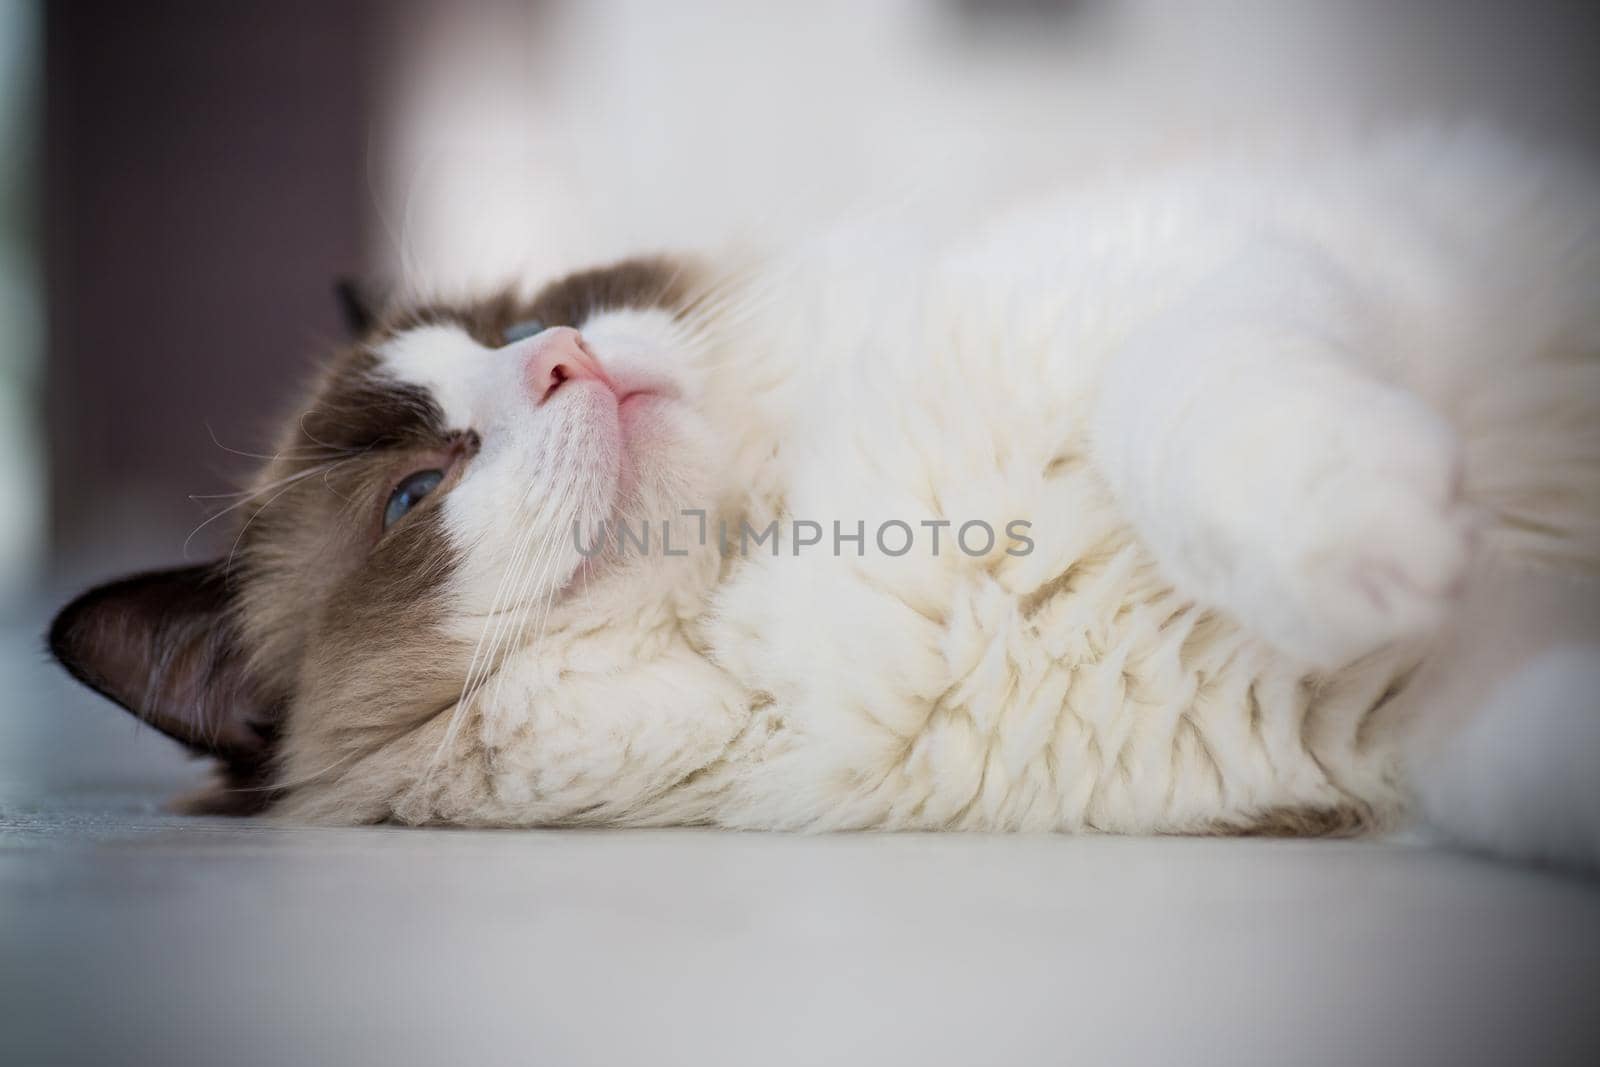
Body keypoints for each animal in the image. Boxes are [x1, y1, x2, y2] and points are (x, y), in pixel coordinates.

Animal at [50, 129, 1600, 870]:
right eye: (417, 493)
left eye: (531, 321)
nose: (565, 359)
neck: (780, 539)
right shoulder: (1390, 724)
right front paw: (1405, 550)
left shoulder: (1219, 257)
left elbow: (1182, 401)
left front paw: (1373, 529)